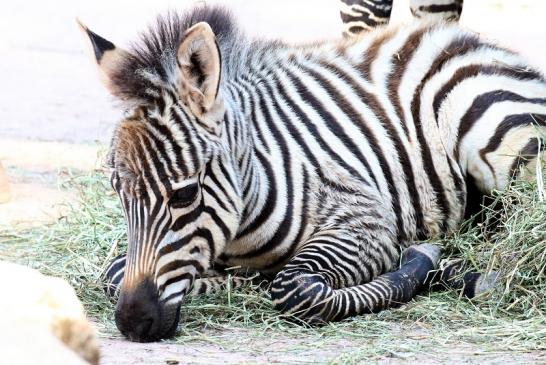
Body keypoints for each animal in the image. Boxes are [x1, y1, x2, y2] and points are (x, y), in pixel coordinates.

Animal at [78, 6, 544, 342]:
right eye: (117, 193)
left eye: (184, 195)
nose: (132, 325)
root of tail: (462, 41)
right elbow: (114, 273)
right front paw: (233, 283)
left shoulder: (364, 220)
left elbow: (295, 288)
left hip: (501, 139)